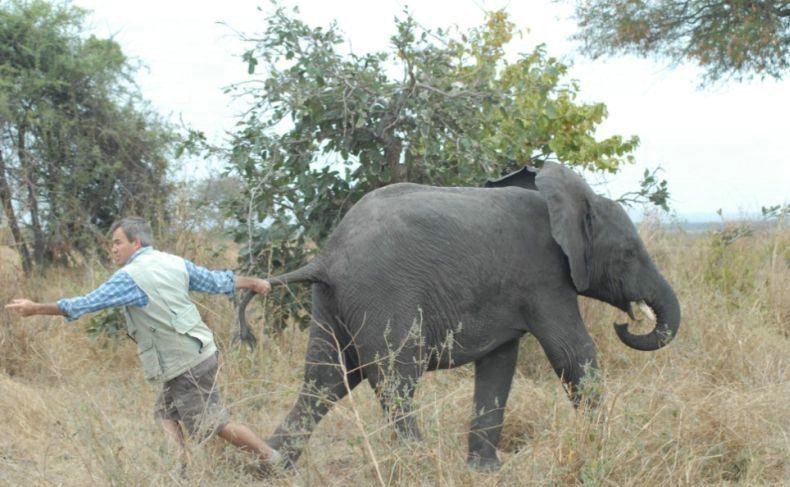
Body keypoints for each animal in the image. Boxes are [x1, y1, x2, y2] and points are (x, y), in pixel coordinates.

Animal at [241, 162, 680, 470]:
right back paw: (418, 465)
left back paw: (269, 468)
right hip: (383, 294)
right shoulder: (545, 279)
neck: (571, 200)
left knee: (326, 379)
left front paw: (486, 470)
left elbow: (499, 365)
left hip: (332, 302)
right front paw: (604, 445)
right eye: (629, 254)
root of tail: (327, 257)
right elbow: (572, 353)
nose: (626, 321)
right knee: (393, 380)